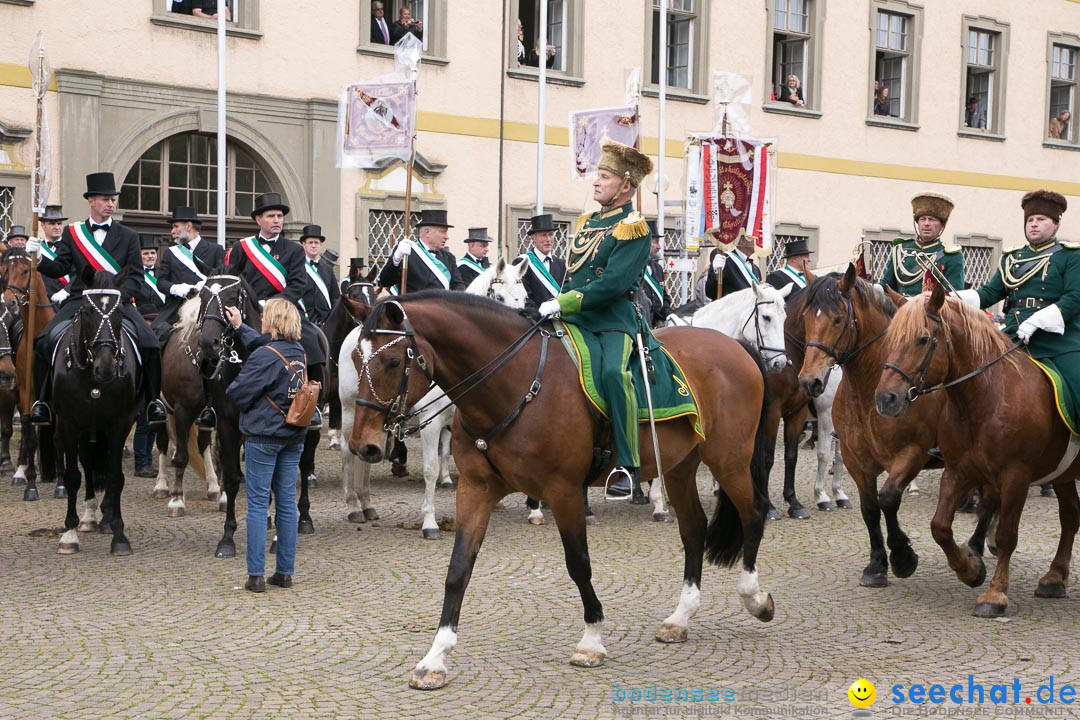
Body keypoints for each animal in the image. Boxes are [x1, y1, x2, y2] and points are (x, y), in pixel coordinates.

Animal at [54, 269, 141, 557]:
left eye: (119, 312)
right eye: (88, 312)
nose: (106, 369)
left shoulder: (119, 423)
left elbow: (115, 476)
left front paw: (119, 535)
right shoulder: (68, 423)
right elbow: (72, 477)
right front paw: (69, 534)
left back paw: (105, 517)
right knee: (88, 462)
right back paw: (90, 516)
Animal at [349, 289, 773, 690]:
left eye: (392, 362)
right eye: (354, 358)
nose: (362, 446)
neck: (514, 383)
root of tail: (733, 345)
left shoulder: (564, 492)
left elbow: (578, 564)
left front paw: (591, 641)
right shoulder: (475, 490)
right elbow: (458, 570)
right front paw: (435, 658)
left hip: (728, 459)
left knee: (752, 513)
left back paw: (755, 598)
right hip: (681, 466)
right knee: (694, 530)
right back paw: (680, 618)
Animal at [872, 284, 1075, 617]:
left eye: (923, 339)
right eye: (889, 340)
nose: (886, 399)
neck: (985, 397)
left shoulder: (1015, 475)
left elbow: (1006, 535)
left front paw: (995, 594)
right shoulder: (959, 470)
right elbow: (939, 527)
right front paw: (970, 570)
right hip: (1064, 474)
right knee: (1071, 516)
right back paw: (1055, 577)